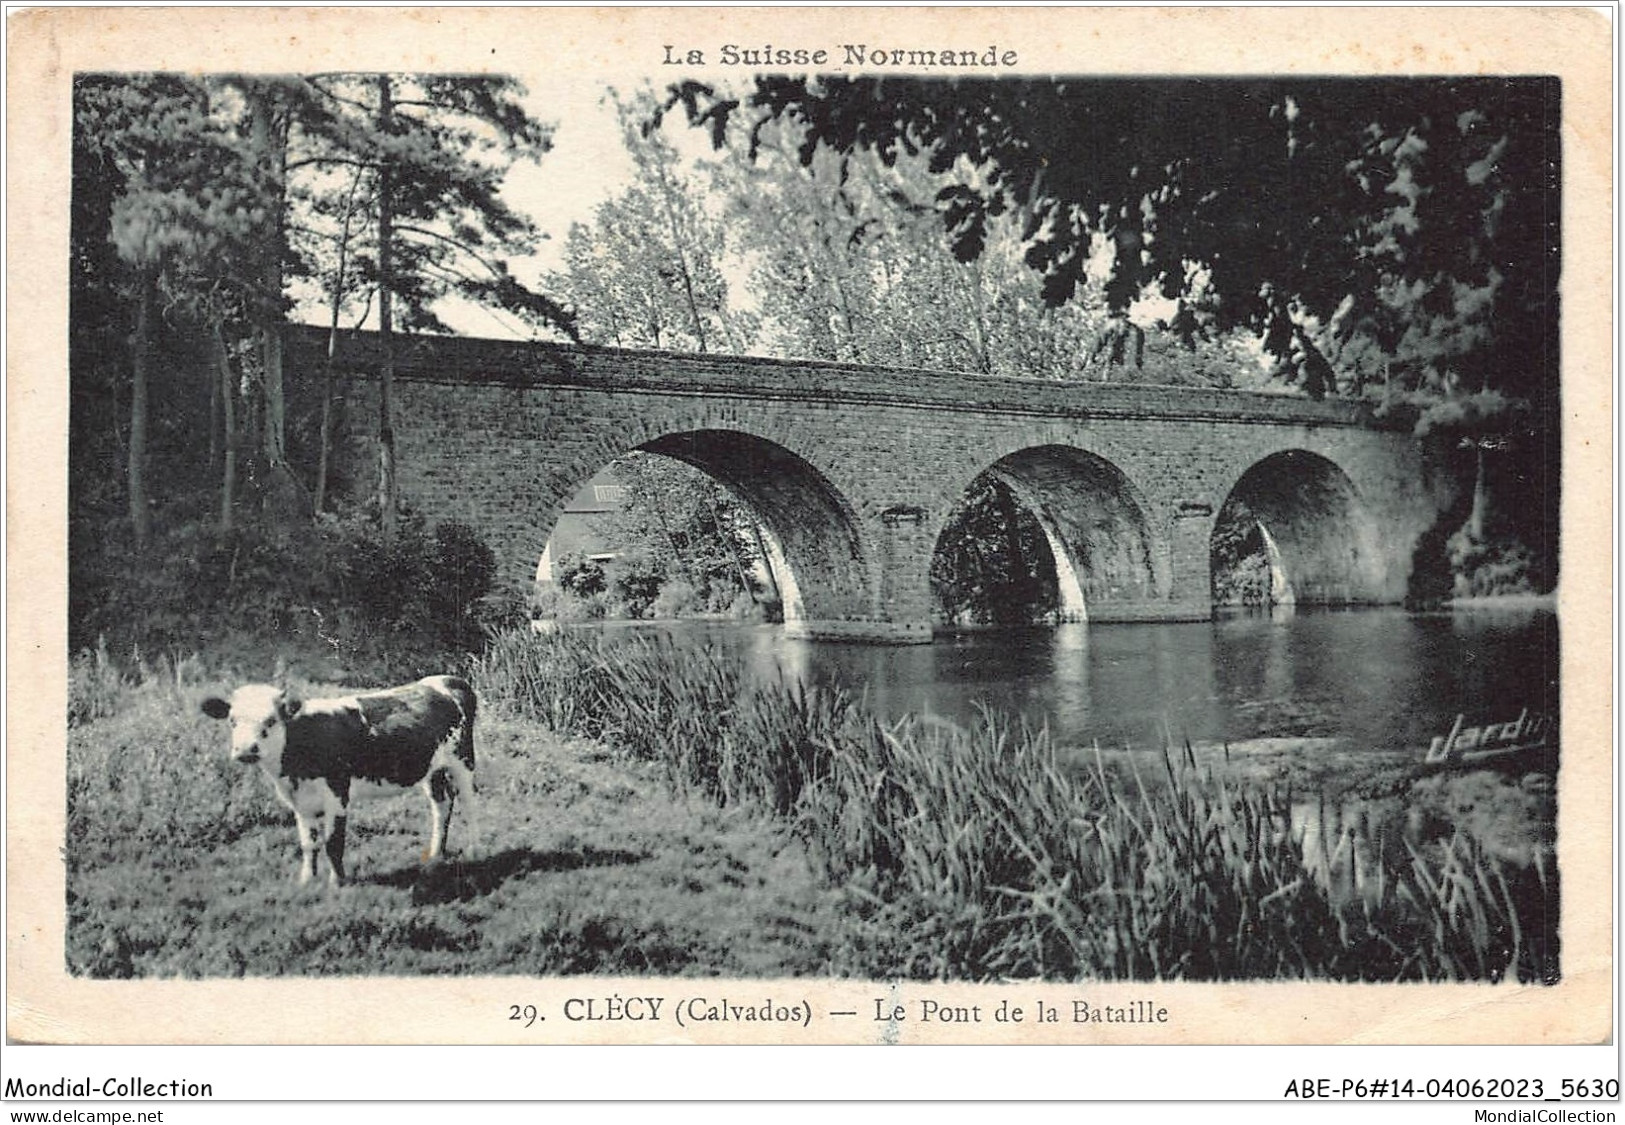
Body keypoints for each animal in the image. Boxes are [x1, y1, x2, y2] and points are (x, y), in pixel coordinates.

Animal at [202, 673, 474, 884]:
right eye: (232, 721)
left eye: (270, 721)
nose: (246, 750)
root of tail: (448, 680)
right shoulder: (301, 801)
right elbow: (309, 843)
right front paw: (307, 880)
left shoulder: (337, 793)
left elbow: (333, 842)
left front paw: (337, 882)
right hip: (433, 769)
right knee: (442, 804)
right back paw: (436, 854)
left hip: (463, 761)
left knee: (470, 804)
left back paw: (474, 845)